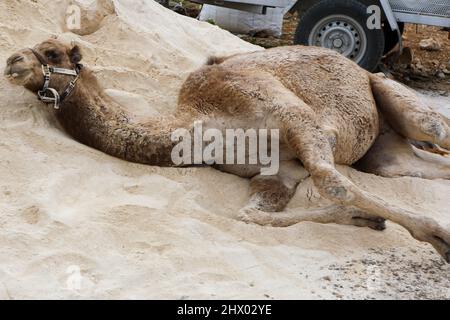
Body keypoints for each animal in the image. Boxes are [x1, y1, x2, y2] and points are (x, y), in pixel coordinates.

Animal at [3, 38, 450, 262]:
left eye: (53, 52)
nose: (11, 61)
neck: (202, 121)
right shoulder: (277, 170)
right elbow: (249, 215)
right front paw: (365, 219)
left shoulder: (295, 117)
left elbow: (330, 181)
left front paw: (438, 234)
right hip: (385, 154)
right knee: (402, 165)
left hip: (390, 94)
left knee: (436, 128)